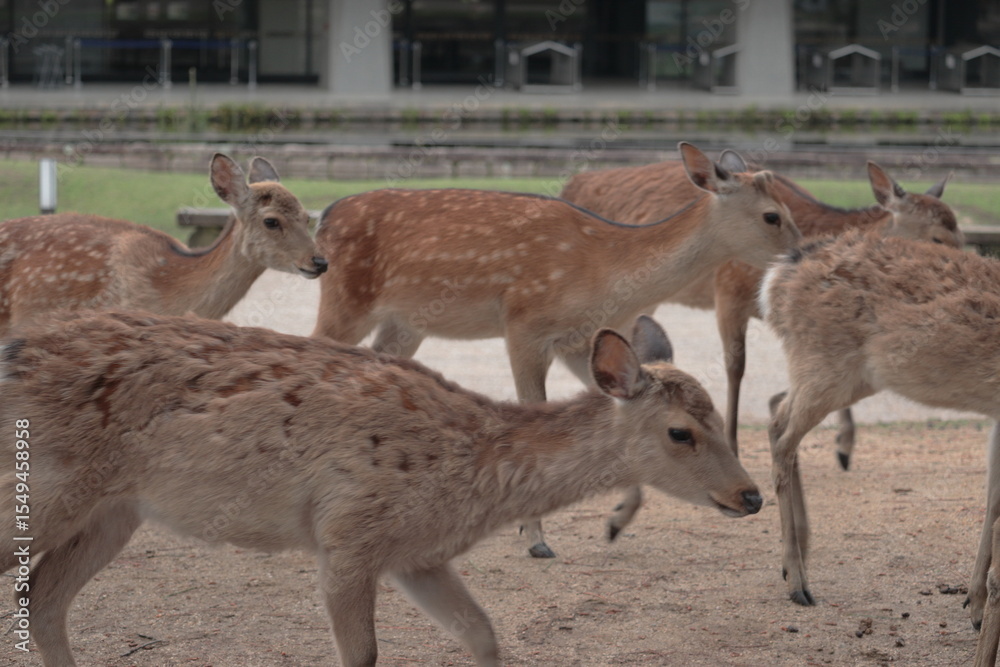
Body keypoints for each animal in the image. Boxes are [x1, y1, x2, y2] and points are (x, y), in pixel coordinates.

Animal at [0, 311, 762, 667]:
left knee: (44, 598)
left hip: (114, 511)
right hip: (47, 489)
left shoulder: (416, 556)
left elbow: (484, 634)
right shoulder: (347, 533)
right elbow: (360, 653)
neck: (470, 470)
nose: (751, 496)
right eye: (681, 433)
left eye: (715, 419)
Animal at [312, 141, 799, 559]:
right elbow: (534, 408)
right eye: (772, 216)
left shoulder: (579, 343)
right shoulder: (525, 324)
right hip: (346, 297)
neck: (609, 274)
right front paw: (535, 538)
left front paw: (615, 521)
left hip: (404, 322)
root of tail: (324, 217)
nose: (801, 254)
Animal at [561, 154, 962, 470]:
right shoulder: (728, 291)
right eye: (937, 237)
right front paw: (734, 446)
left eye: (960, 234)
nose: (959, 275)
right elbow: (736, 367)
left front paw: (843, 447)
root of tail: (572, 183)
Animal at [758, 229, 1000, 628]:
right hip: (826, 364)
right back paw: (798, 582)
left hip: (848, 376)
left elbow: (992, 497)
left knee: (777, 411)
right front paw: (978, 607)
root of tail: (776, 276)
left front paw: (976, 604)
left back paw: (799, 554)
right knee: (781, 435)